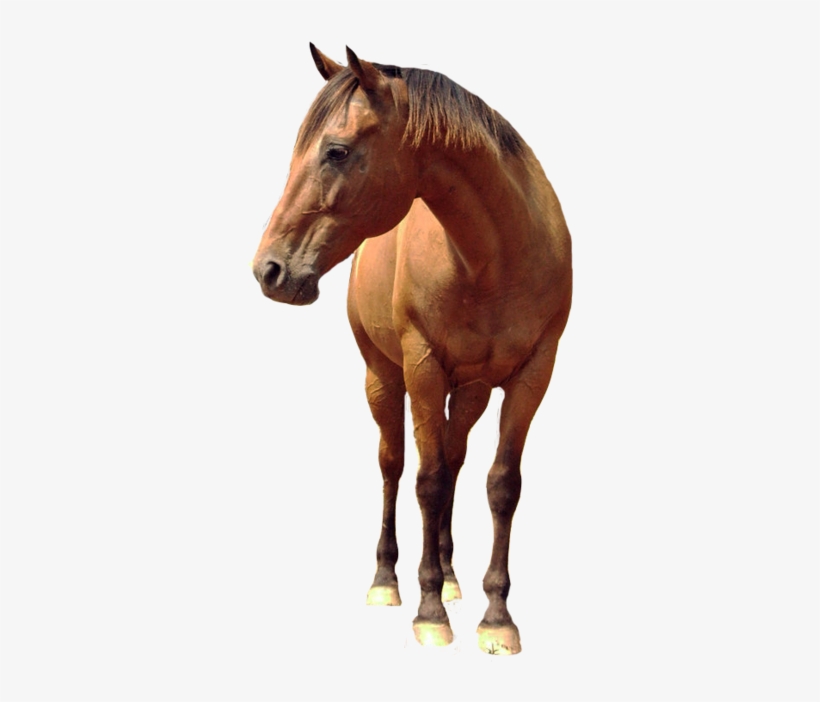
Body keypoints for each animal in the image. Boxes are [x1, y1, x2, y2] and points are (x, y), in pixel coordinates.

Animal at [252, 45, 572, 655]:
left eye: (336, 151)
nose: (268, 270)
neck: (496, 258)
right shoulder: (422, 367)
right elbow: (426, 481)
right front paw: (429, 612)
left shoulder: (533, 375)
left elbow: (501, 485)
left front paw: (497, 618)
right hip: (383, 377)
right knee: (395, 465)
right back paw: (389, 580)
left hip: (470, 392)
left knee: (454, 458)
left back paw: (449, 577)